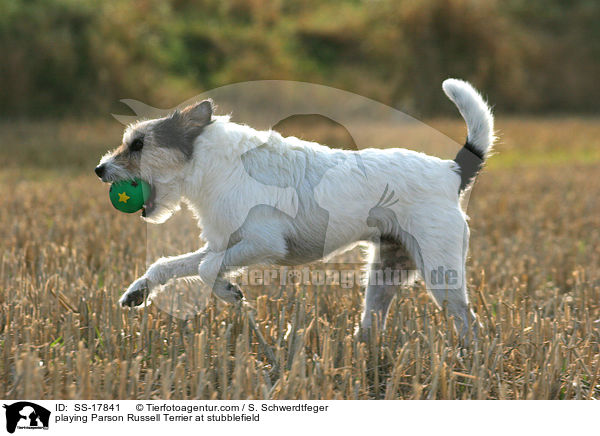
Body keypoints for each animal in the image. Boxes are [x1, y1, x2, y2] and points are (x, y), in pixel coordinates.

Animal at [96, 79, 494, 340]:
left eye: (138, 144)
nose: (99, 169)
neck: (211, 164)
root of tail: (450, 171)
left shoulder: (263, 243)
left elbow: (209, 268)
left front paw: (228, 290)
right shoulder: (223, 243)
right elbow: (169, 265)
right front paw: (139, 291)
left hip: (441, 274)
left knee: (469, 323)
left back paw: (470, 364)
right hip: (385, 274)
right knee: (373, 321)